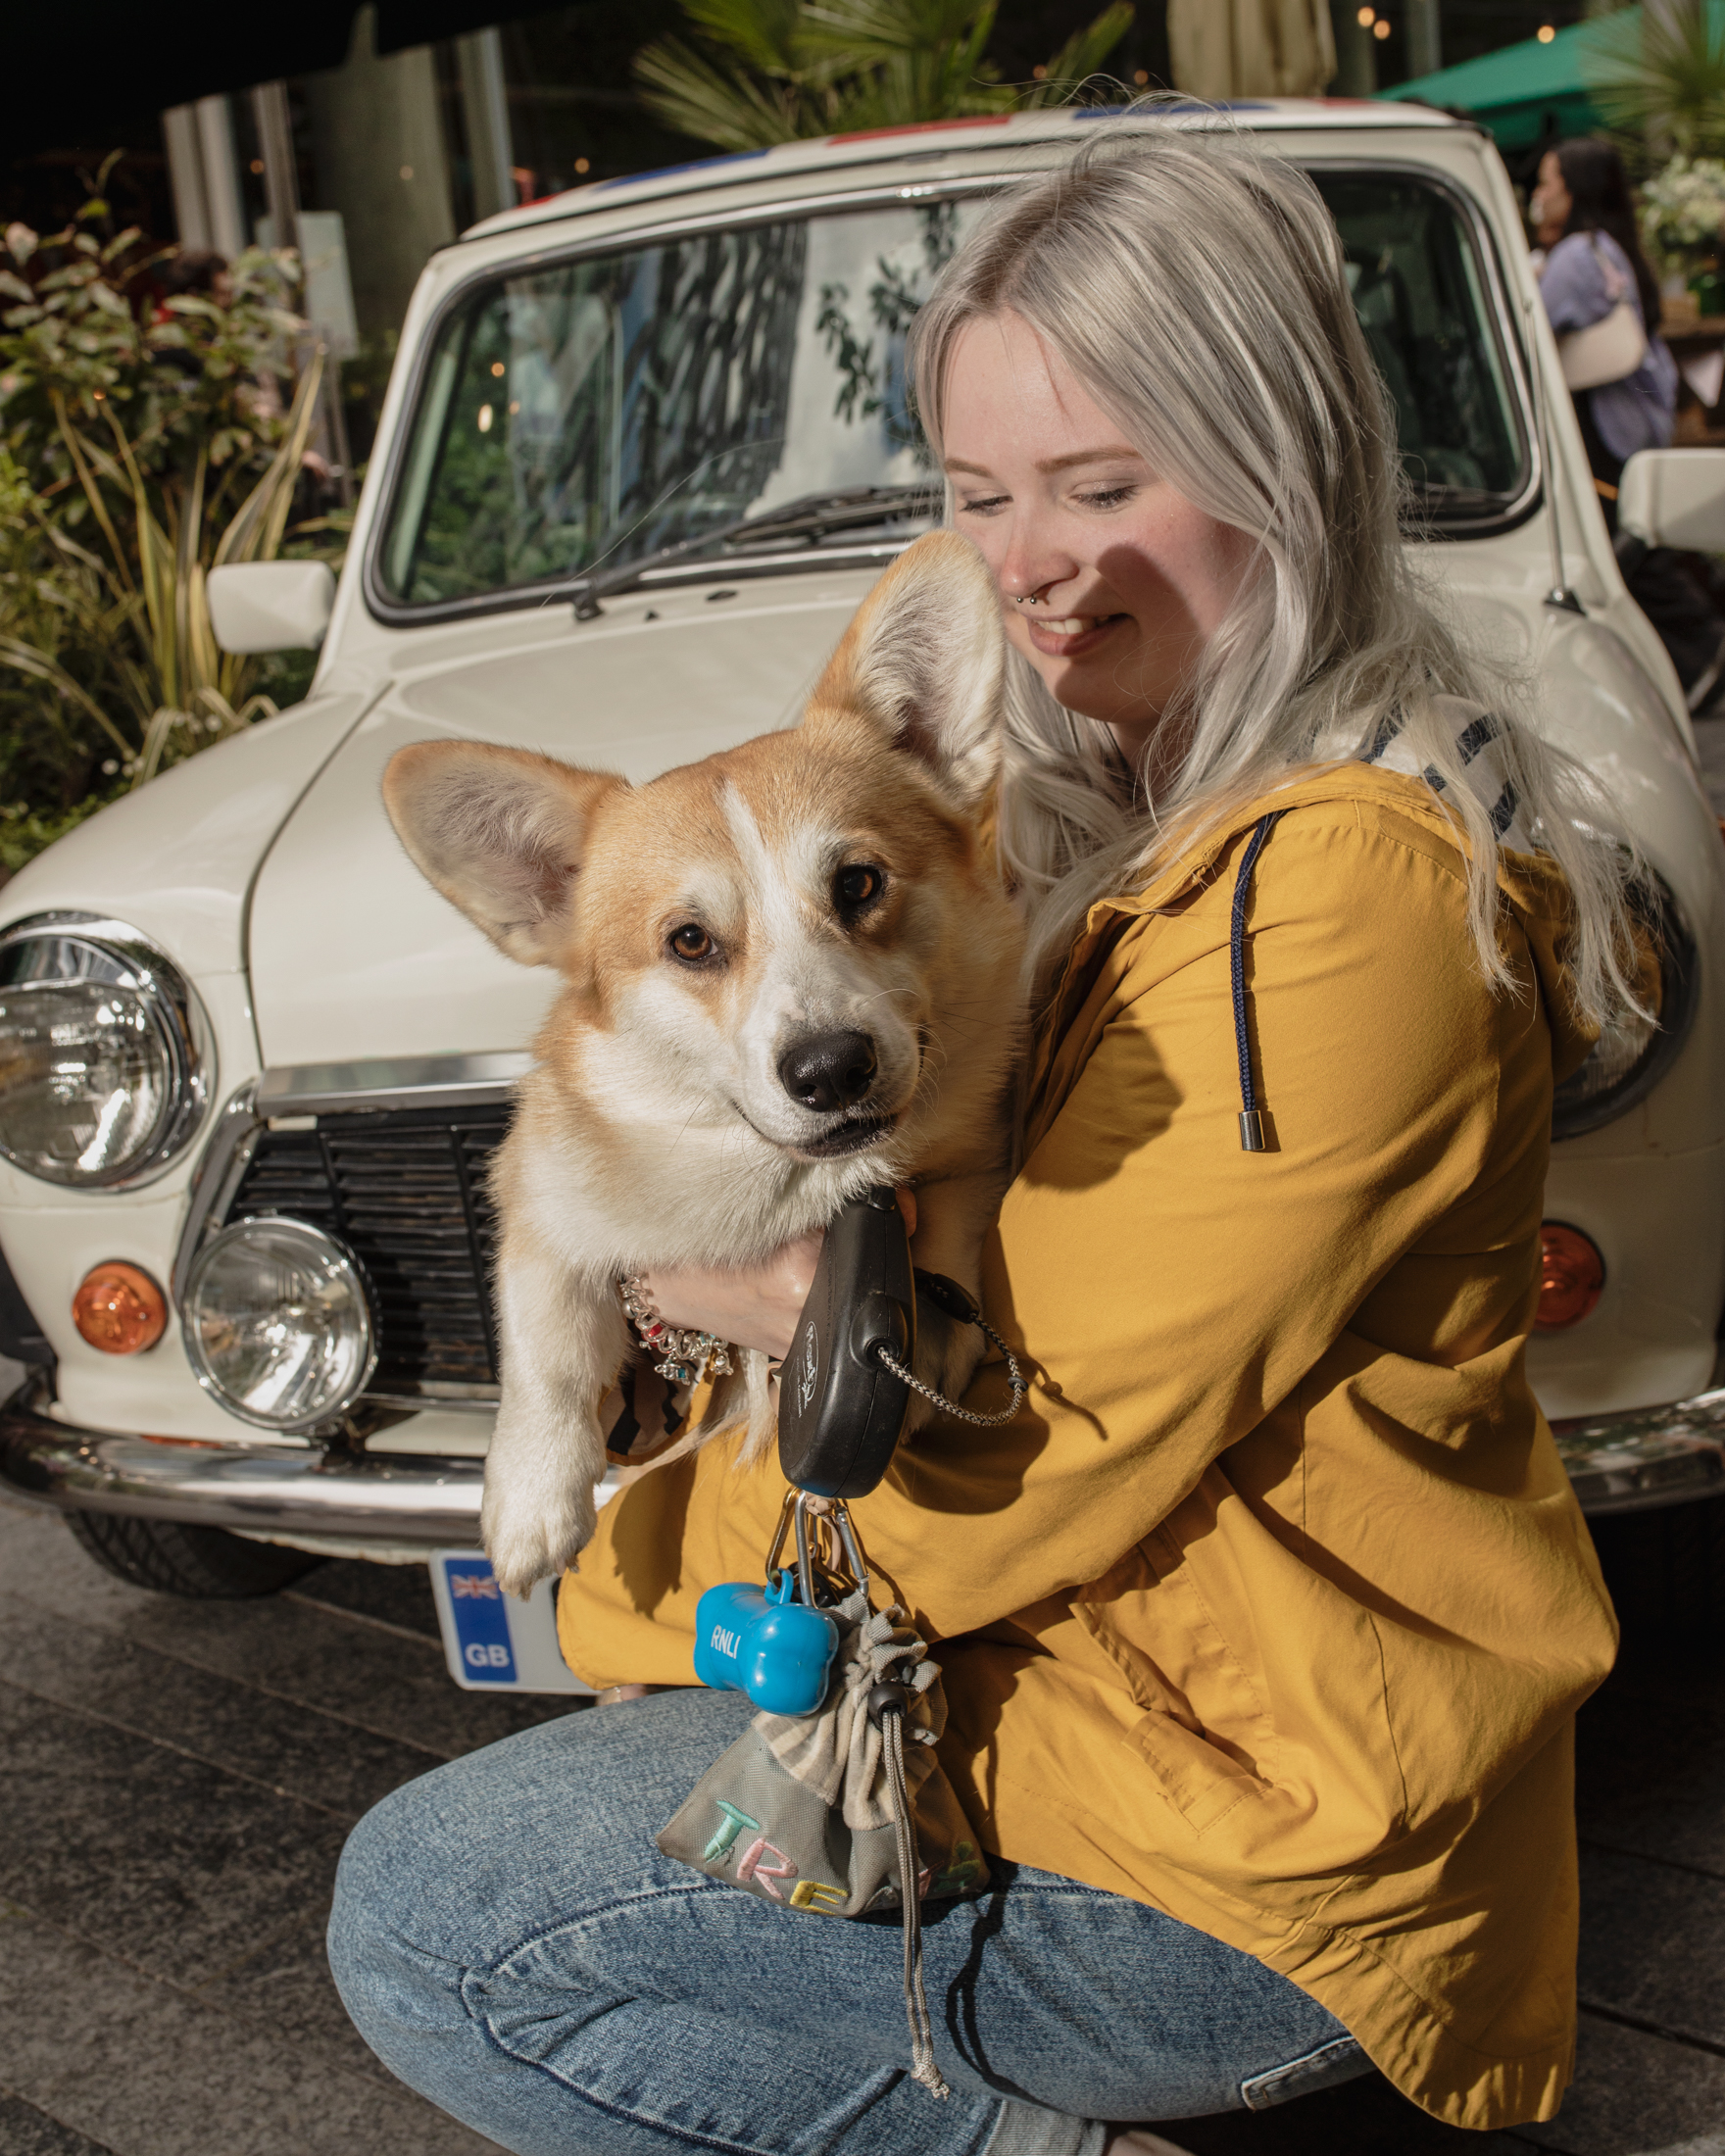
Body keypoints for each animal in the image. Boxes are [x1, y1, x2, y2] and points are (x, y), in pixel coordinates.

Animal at [383, 530, 1026, 1595]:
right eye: (690, 942)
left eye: (859, 884)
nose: (831, 1069)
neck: (762, 1182)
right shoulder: (536, 1196)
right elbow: (548, 1342)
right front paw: (530, 1498)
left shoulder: (968, 1154)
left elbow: (949, 1230)